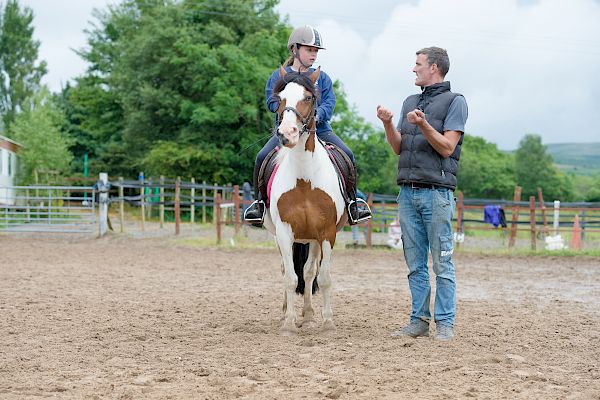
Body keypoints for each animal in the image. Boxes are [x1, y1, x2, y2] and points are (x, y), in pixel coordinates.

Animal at [264, 67, 346, 336]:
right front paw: (289, 323)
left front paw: (328, 322)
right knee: (286, 270)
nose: (286, 134)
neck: (304, 179)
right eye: (279, 99)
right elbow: (290, 277)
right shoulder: (284, 232)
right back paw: (286, 313)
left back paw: (309, 315)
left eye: (309, 98)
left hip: (313, 238)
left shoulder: (327, 233)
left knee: (309, 272)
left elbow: (323, 277)